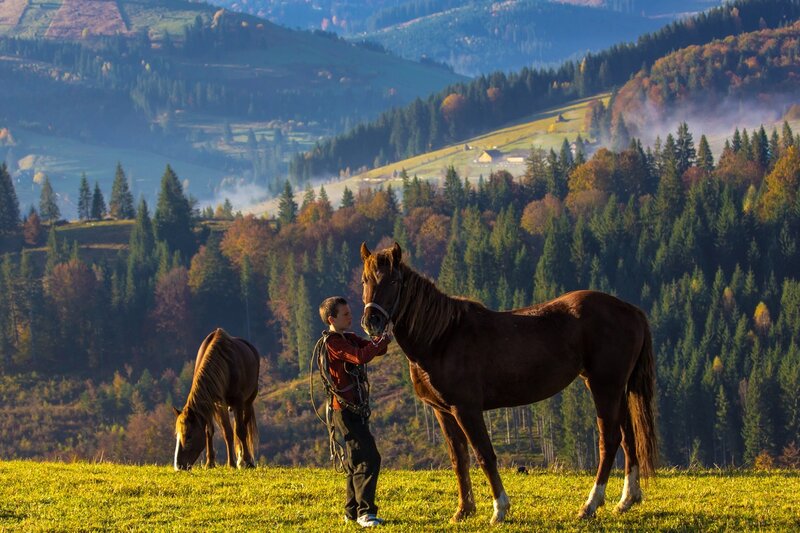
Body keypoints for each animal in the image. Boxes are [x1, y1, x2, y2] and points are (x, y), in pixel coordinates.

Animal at [173, 328, 260, 471]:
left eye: (189, 436)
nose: (179, 466)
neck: (224, 365)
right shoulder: (215, 403)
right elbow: (217, 431)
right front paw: (211, 463)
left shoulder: (237, 402)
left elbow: (240, 431)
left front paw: (244, 461)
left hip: (248, 401)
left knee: (244, 425)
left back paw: (243, 459)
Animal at [359, 242, 657, 524]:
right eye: (365, 280)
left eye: (394, 281)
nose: (371, 321)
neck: (442, 337)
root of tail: (631, 310)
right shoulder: (442, 412)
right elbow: (459, 459)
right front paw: (463, 511)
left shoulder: (466, 409)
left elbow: (484, 455)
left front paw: (499, 509)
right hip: (617, 389)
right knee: (628, 438)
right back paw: (627, 500)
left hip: (604, 387)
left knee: (610, 439)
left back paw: (590, 505)